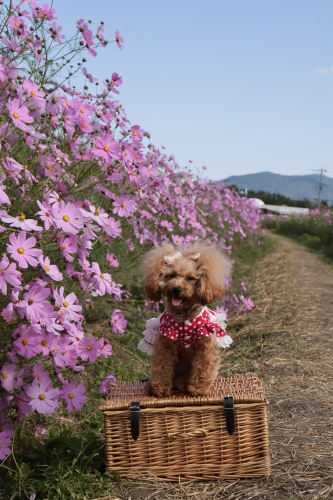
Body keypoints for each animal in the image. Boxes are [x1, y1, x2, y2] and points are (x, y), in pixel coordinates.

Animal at [137, 240, 231, 396]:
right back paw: (152, 386)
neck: (184, 317)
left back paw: (182, 384)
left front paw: (198, 389)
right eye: (171, 275)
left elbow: (203, 368)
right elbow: (162, 366)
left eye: (191, 278)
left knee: (184, 379)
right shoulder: (165, 345)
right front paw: (161, 388)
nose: (177, 289)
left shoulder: (205, 347)